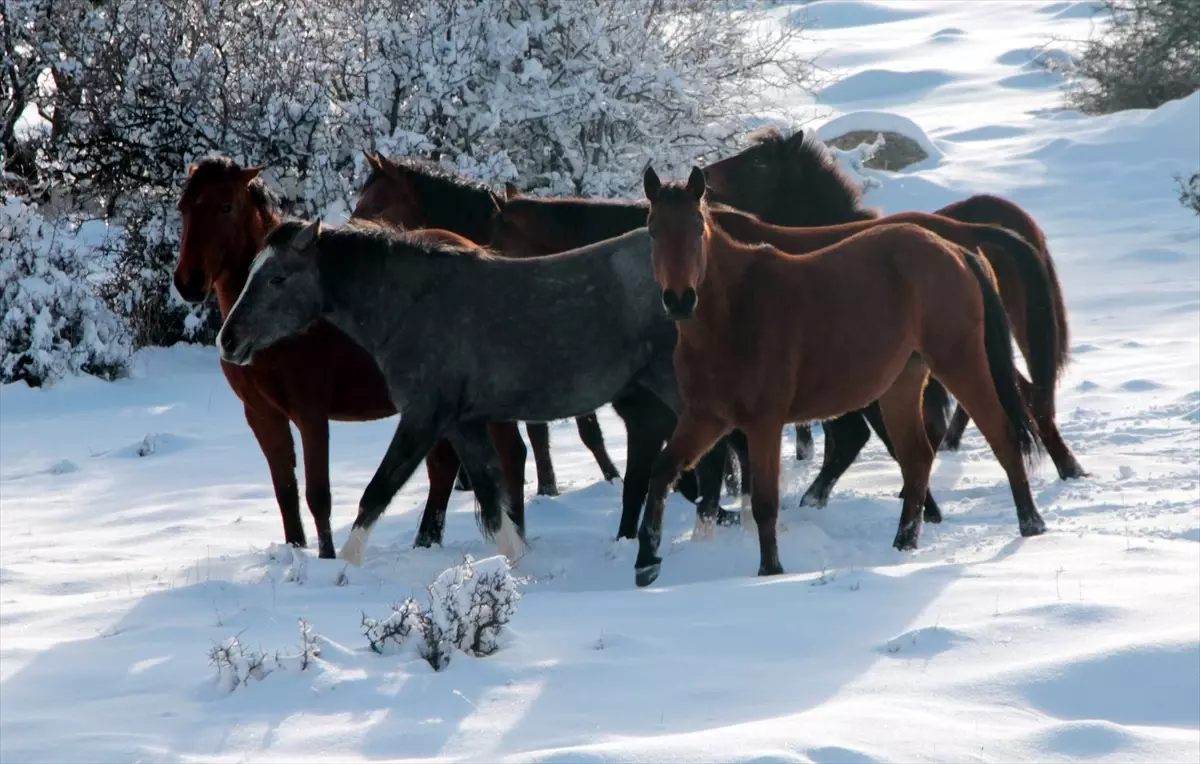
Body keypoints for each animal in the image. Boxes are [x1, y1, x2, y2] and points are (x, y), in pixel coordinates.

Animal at [171, 155, 528, 561]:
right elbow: (286, 494)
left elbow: (318, 496)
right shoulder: (263, 417)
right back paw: (427, 540)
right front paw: (296, 552)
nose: (188, 282)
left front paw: (326, 561)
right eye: (183, 207)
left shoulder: (310, 414)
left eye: (225, 207)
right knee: (445, 466)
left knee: (510, 455)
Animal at [218, 215, 696, 566]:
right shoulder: (462, 424)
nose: (228, 340)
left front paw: (344, 570)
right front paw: (515, 564)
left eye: (277, 278)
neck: (414, 306)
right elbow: (491, 498)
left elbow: (377, 492)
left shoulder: (422, 417)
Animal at [633, 165, 1046, 582]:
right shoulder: (706, 417)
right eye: (652, 229)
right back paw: (904, 543)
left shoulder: (763, 423)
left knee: (1002, 434)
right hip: (901, 385)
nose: (680, 300)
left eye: (698, 227)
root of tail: (956, 250)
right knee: (916, 457)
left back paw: (1031, 525)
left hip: (960, 363)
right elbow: (661, 471)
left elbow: (764, 501)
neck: (735, 311)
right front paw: (646, 563)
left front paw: (770, 570)